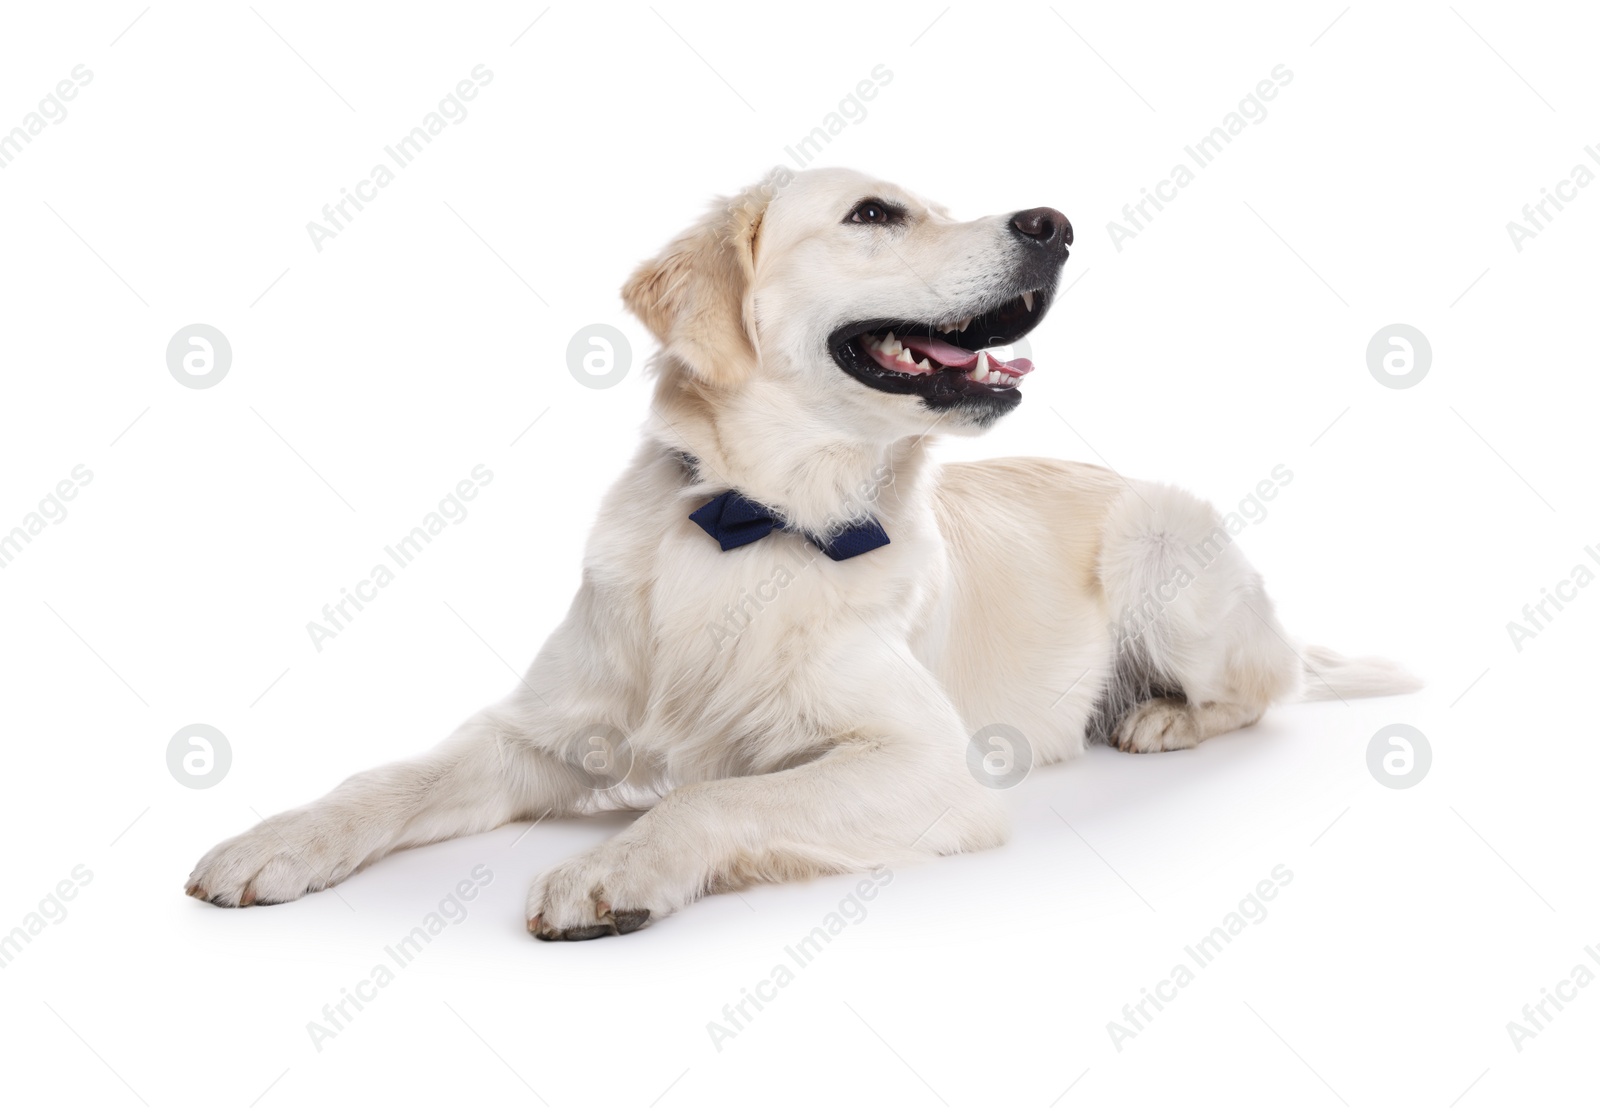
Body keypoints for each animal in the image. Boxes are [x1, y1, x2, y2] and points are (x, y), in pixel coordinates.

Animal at [190, 167, 1427, 941]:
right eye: (876, 212)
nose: (1054, 223)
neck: (754, 518)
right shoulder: (538, 727)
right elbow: (390, 778)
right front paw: (278, 838)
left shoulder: (927, 763)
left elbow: (710, 798)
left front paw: (613, 867)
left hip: (1157, 541)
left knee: (1262, 686)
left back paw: (1160, 715)